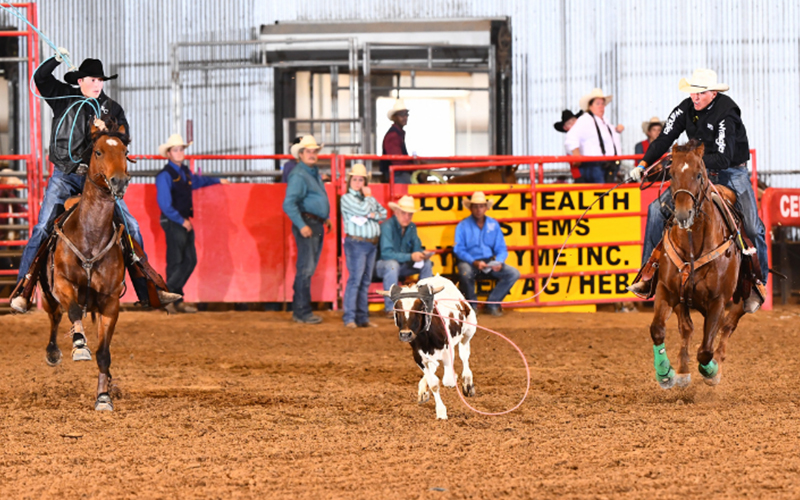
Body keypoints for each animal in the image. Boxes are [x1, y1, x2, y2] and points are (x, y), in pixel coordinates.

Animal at [39, 121, 132, 410]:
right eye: (98, 152)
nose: (119, 181)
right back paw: (54, 351)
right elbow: (73, 312)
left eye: (125, 152)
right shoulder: (63, 284)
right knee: (56, 315)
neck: (90, 236)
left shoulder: (110, 302)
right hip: (47, 293)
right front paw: (79, 346)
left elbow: (104, 353)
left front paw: (103, 397)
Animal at [378, 276, 478, 420]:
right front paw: (440, 411)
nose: (405, 334)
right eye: (397, 309)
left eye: (420, 307)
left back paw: (468, 383)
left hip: (468, 332)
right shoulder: (418, 356)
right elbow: (433, 383)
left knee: (464, 356)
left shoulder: (447, 350)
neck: (426, 337)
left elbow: (447, 378)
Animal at [648, 141, 752, 390]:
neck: (694, 247)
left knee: (726, 328)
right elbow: (657, 329)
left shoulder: (718, 300)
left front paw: (711, 371)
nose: (683, 214)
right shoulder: (666, 290)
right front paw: (665, 373)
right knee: (687, 328)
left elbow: (705, 350)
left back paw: (717, 367)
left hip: (739, 301)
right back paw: (683, 372)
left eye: (698, 175)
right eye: (672, 175)